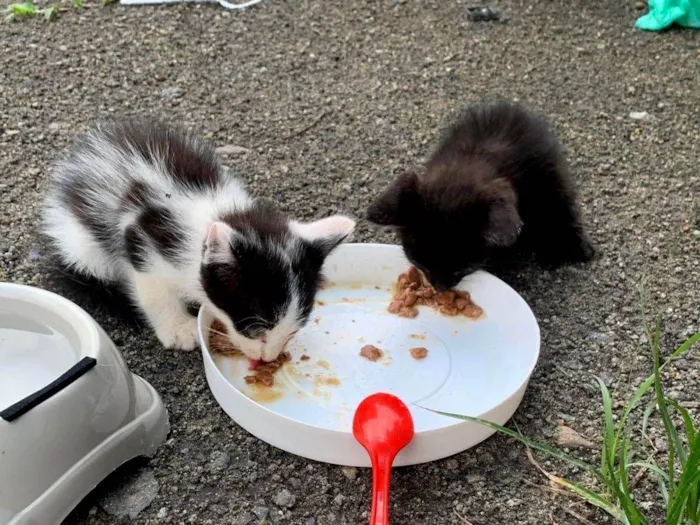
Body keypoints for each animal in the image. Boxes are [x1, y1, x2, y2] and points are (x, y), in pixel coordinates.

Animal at [42, 119, 356, 360]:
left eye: (293, 329)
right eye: (256, 331)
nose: (267, 359)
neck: (219, 211)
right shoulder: (140, 235)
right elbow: (153, 290)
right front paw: (178, 328)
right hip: (82, 245)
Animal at [366, 98, 596, 290]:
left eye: (464, 268)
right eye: (419, 263)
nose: (440, 289)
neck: (473, 159)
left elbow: (562, 212)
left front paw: (577, 247)